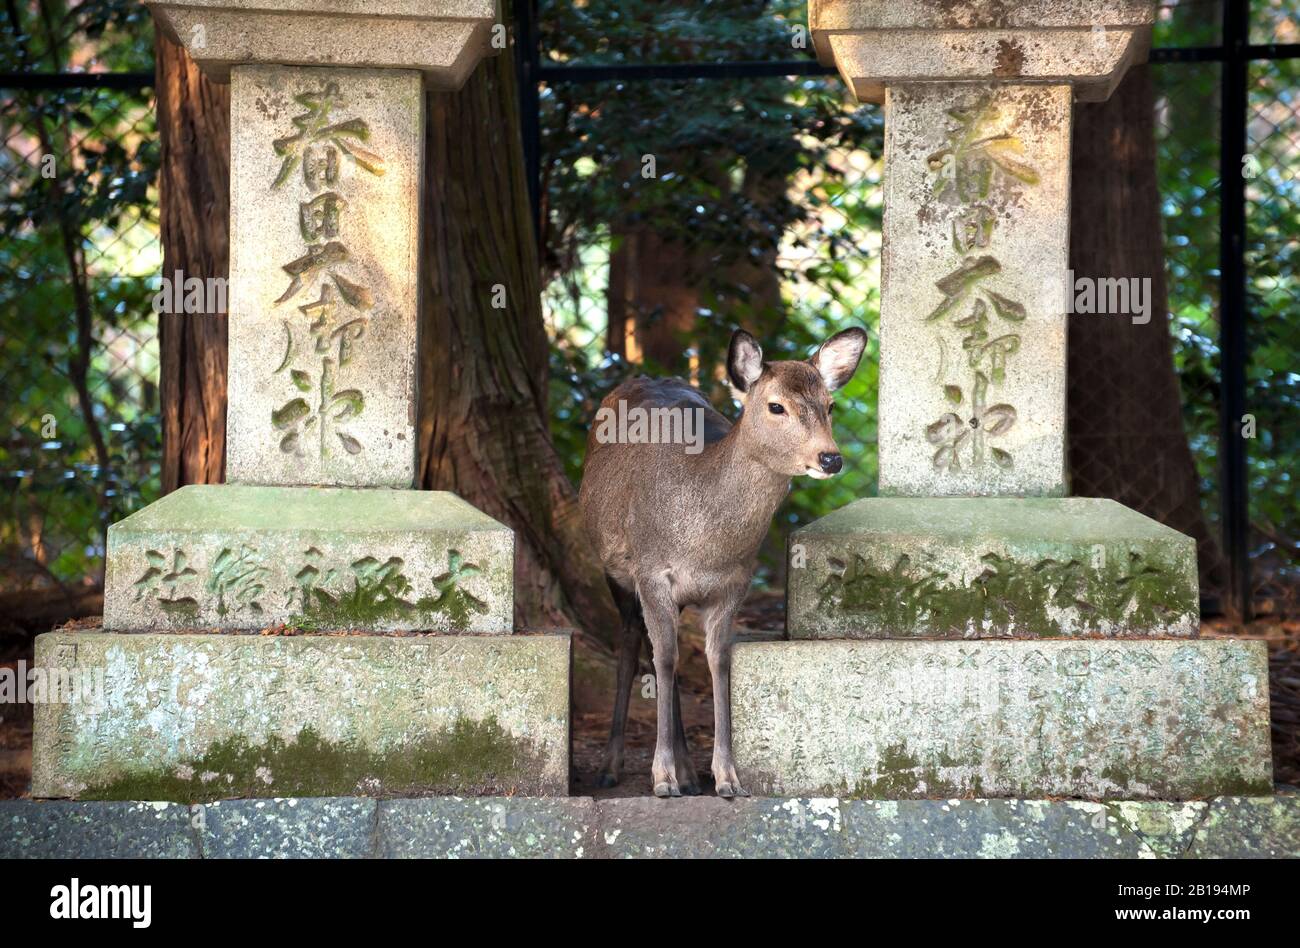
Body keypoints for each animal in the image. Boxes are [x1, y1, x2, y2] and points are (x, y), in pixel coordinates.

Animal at [577, 329, 863, 795]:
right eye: (776, 406)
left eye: (831, 405)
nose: (831, 458)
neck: (705, 546)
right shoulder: (651, 571)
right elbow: (665, 660)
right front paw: (662, 778)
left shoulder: (734, 585)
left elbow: (718, 662)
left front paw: (726, 776)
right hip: (614, 570)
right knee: (633, 645)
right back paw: (612, 766)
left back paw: (690, 773)